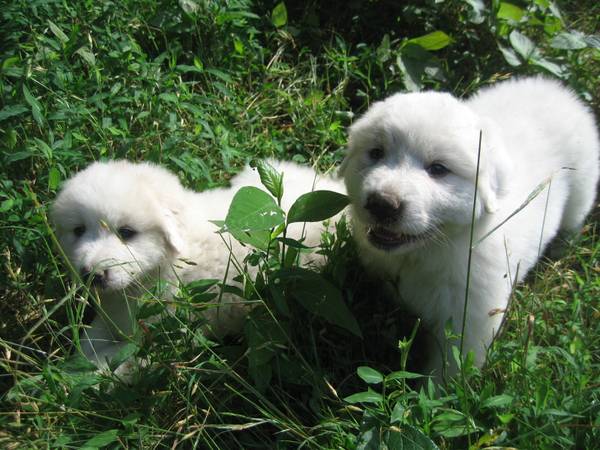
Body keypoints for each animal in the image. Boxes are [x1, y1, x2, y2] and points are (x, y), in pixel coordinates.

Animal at [53, 160, 344, 374]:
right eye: (78, 230)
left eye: (126, 232)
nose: (92, 275)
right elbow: (90, 340)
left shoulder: (166, 338)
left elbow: (112, 364)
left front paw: (68, 379)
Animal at [342, 77, 600, 380]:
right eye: (376, 153)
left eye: (438, 169)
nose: (382, 204)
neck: (430, 250)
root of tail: (557, 90)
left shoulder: (469, 318)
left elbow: (450, 368)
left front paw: (433, 391)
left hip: (581, 192)